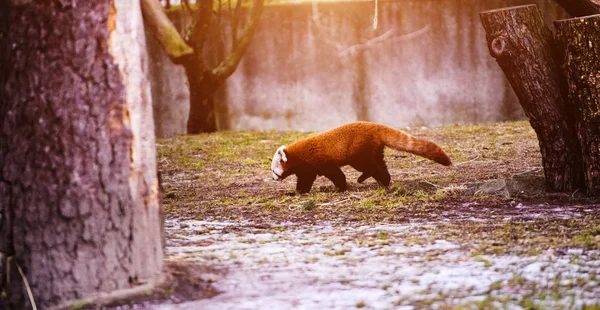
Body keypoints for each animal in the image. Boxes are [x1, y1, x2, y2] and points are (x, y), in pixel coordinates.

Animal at [270, 121, 450, 193]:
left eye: (273, 170)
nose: (273, 178)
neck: (297, 155)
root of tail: (374, 126)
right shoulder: (307, 168)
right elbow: (305, 179)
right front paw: (299, 191)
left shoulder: (320, 161)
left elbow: (336, 174)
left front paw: (340, 188)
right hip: (372, 150)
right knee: (380, 164)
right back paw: (384, 181)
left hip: (357, 152)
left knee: (369, 165)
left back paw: (363, 178)